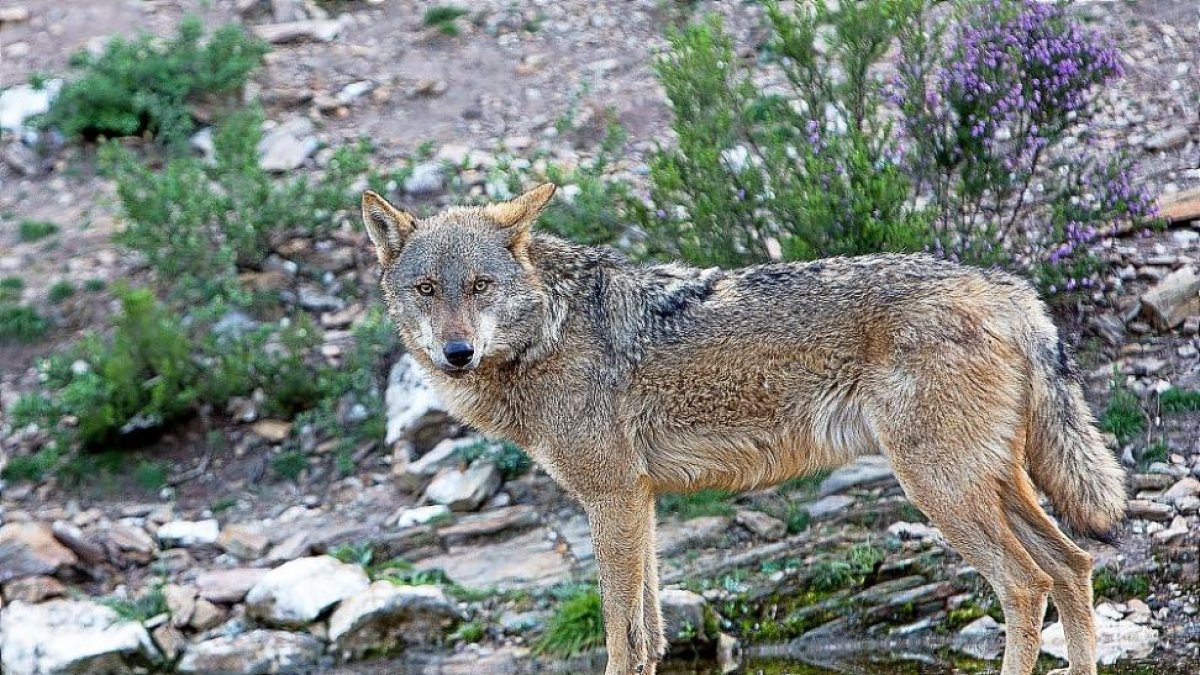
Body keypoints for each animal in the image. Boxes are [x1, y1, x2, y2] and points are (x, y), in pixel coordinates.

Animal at [361, 183, 1126, 675]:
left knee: (1026, 584)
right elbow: (650, 638)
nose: (456, 352)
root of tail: (1007, 288)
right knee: (1073, 566)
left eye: (480, 287)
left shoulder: (611, 498)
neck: (546, 332)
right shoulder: (638, 501)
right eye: (427, 289)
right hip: (991, 484)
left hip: (942, 490)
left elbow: (620, 637)